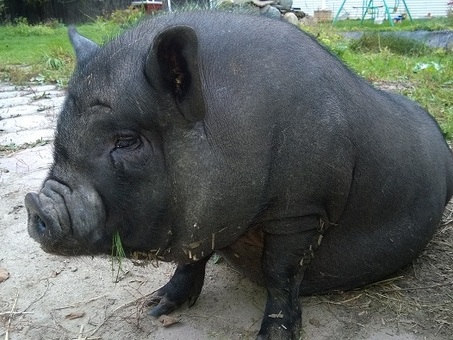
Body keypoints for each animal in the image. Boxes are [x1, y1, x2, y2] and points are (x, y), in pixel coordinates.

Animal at [25, 10, 452, 340]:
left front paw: (273, 335)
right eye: (61, 129)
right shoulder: (206, 218)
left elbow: (280, 273)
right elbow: (192, 259)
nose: (37, 205)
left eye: (127, 140)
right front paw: (155, 308)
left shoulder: (303, 207)